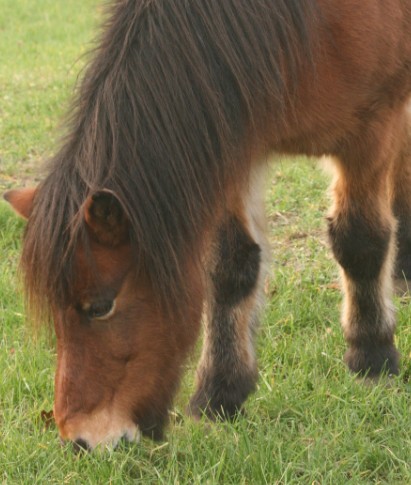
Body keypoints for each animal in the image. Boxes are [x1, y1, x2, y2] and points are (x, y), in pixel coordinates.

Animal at [4, 0, 411, 448]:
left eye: (100, 306)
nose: (80, 440)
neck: (309, 27)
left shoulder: (371, 131)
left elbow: (360, 242)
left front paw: (372, 356)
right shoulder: (233, 145)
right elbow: (230, 268)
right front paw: (220, 394)